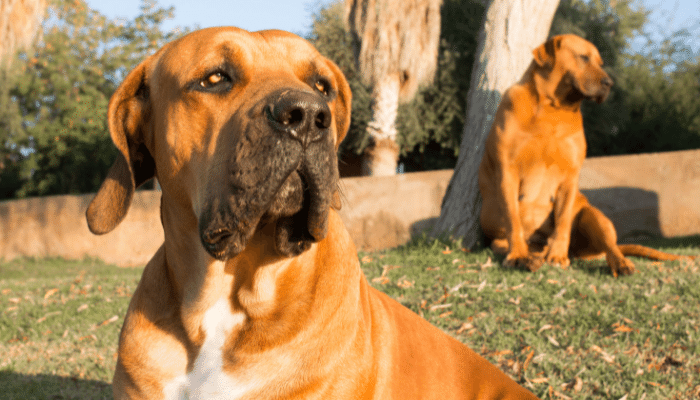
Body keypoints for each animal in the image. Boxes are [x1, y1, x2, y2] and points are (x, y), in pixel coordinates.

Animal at [478, 34, 692, 276]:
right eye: (583, 57)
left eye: (600, 63)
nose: (609, 83)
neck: (551, 108)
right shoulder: (508, 172)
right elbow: (513, 219)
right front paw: (517, 255)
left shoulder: (569, 177)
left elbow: (562, 221)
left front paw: (557, 256)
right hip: (497, 237)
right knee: (513, 243)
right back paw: (531, 257)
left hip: (595, 217)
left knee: (610, 246)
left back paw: (618, 263)